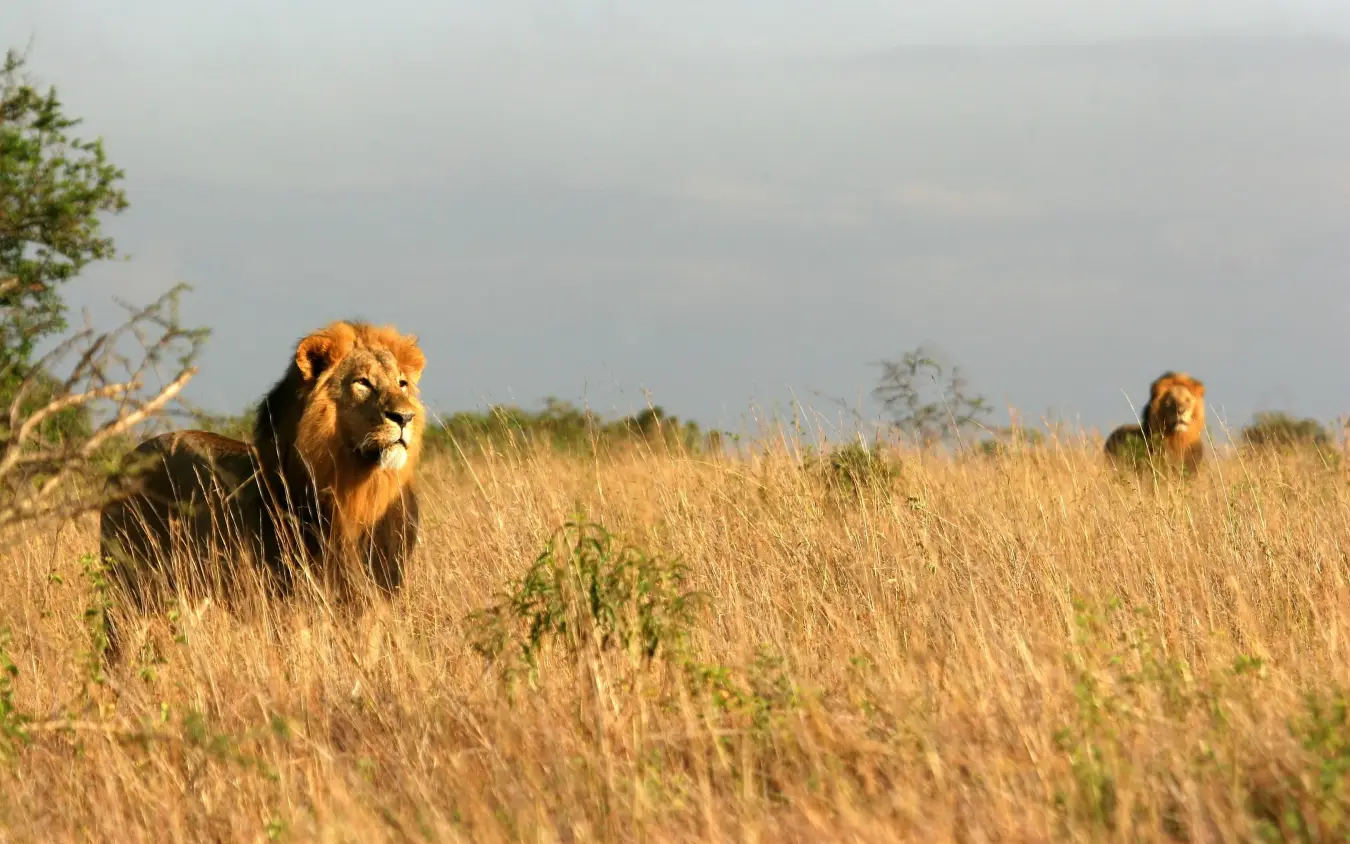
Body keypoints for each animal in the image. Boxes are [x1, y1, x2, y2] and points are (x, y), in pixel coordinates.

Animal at [98, 320, 426, 658]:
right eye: (362, 382)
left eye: (401, 384)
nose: (405, 417)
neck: (358, 494)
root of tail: (126, 460)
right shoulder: (291, 601)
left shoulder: (374, 599)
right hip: (130, 587)